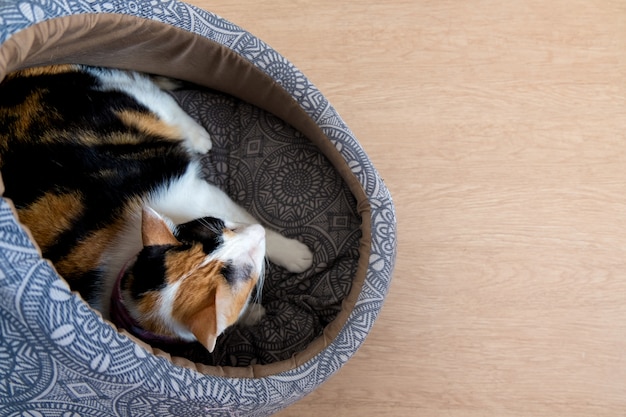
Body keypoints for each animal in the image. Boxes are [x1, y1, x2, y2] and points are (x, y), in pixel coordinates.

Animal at [0, 65, 312, 352]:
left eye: (218, 228)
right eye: (243, 274)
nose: (255, 234)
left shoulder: (199, 194)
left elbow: (247, 220)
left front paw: (296, 254)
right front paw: (252, 312)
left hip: (129, 102)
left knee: (155, 95)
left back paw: (198, 136)